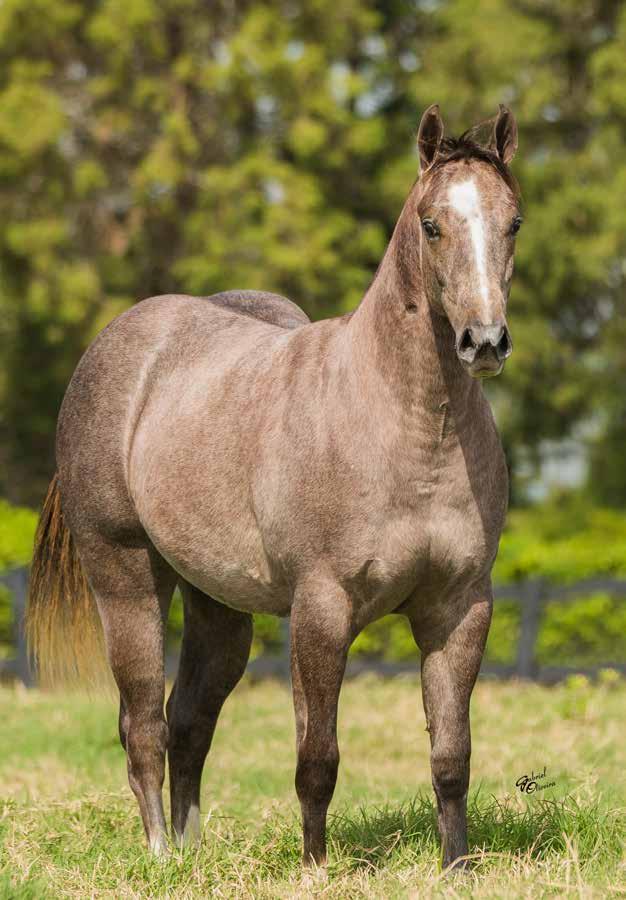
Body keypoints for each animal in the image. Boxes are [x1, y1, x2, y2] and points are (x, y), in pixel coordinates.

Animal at [26, 103, 520, 872]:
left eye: (513, 222)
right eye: (432, 224)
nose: (485, 342)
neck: (410, 430)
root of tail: (122, 345)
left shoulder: (459, 609)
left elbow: (451, 757)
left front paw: (456, 870)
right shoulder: (322, 609)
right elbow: (317, 758)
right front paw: (316, 869)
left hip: (218, 607)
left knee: (188, 722)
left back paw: (194, 856)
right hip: (126, 579)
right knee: (142, 726)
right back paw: (161, 857)